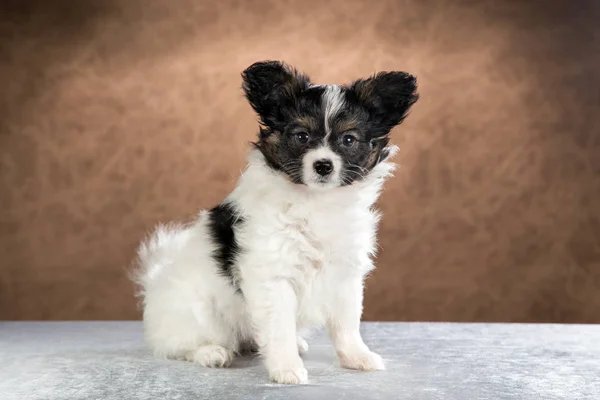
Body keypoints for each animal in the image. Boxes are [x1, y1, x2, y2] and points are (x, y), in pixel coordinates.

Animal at [134, 60, 420, 384]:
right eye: (301, 136)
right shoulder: (274, 276)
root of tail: (153, 281)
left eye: (348, 140)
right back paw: (212, 353)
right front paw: (286, 368)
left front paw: (356, 357)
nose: (323, 165)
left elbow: (347, 323)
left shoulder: (345, 274)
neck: (316, 202)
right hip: (197, 314)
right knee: (181, 345)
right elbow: (279, 327)